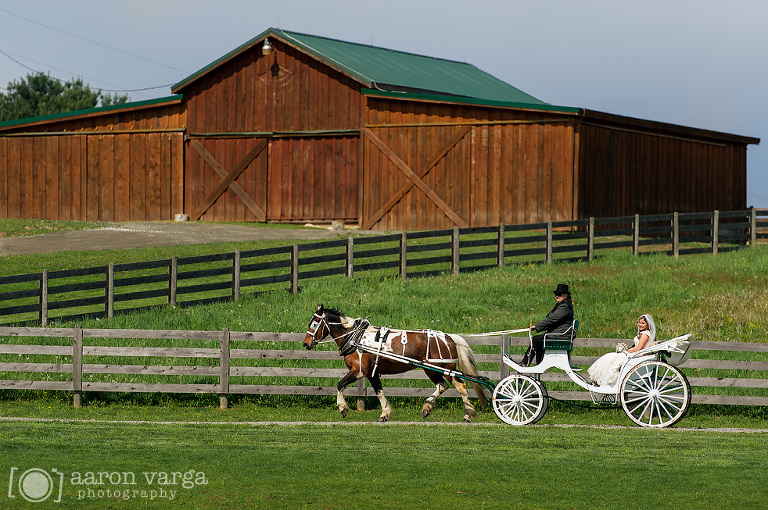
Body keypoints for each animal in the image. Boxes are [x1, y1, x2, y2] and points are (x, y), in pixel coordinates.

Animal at [302, 304, 489, 422]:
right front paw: (385, 414)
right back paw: (427, 408)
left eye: (314, 323)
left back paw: (467, 415)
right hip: (433, 370)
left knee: (460, 387)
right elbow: (379, 392)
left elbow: (340, 384)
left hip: (443, 368)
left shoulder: (359, 370)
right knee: (442, 386)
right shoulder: (372, 373)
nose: (305, 343)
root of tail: (449, 337)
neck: (356, 337)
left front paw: (343, 408)